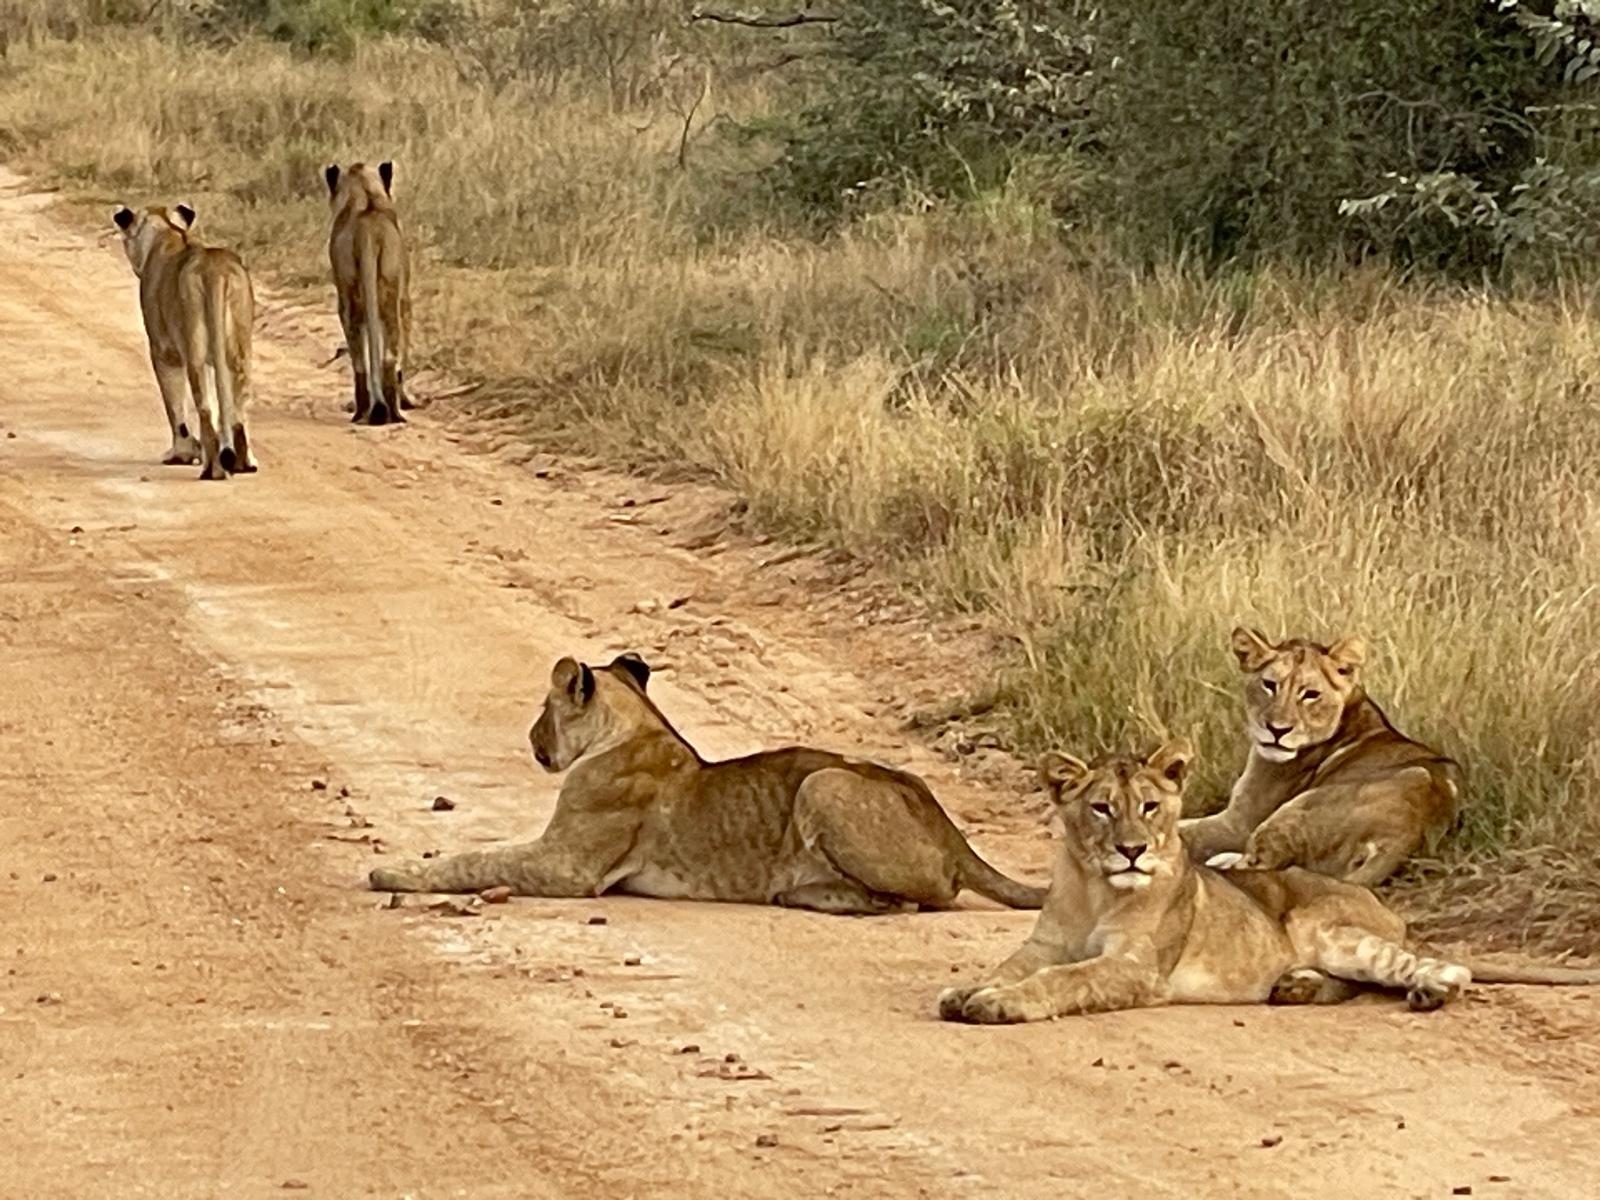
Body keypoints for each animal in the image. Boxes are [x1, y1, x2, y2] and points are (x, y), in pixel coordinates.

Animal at [113, 203, 256, 479]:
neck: (167, 231)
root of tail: (215, 271)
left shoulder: (163, 351)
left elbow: (174, 405)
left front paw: (181, 454)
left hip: (194, 350)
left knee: (206, 408)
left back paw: (213, 470)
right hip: (238, 353)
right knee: (238, 408)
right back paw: (244, 464)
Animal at [324, 161, 411, 426]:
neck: (366, 197)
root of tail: (368, 232)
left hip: (353, 299)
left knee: (361, 361)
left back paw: (365, 411)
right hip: (390, 290)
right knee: (389, 356)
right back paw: (391, 413)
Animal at [369, 652, 1045, 914]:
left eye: (545, 706)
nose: (532, 738)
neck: (636, 724)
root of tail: (946, 822)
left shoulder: (569, 868)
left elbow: (476, 859)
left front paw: (390, 872)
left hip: (824, 784)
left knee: (918, 898)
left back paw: (809, 894)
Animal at [939, 742, 1600, 1025]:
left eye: (1150, 806)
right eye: (1101, 808)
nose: (1131, 850)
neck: (1098, 885)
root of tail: (1385, 907)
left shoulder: (1135, 968)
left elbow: (1065, 979)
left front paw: (996, 1003)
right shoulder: (1043, 944)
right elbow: (1012, 965)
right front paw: (969, 989)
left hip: (1335, 931)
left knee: (1436, 968)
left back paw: (1427, 993)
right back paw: (1298, 986)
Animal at [1179, 627, 1461, 886]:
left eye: (1310, 694)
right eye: (1269, 685)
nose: (1277, 730)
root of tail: (1406, 834)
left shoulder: (1237, 824)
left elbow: (1184, 831)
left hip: (1294, 809)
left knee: (1258, 866)